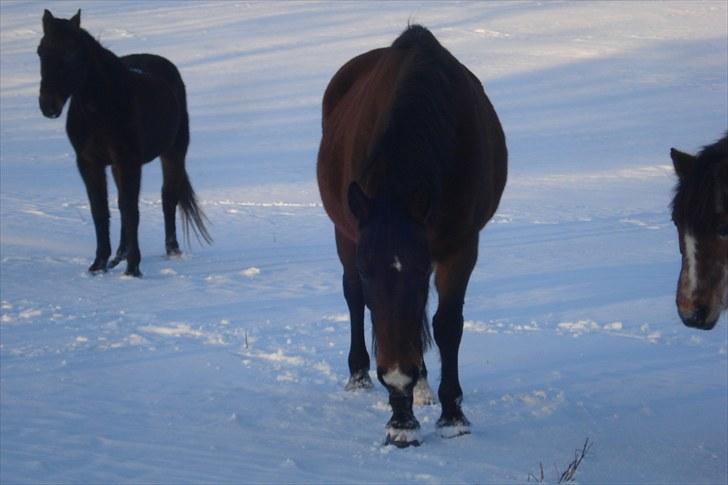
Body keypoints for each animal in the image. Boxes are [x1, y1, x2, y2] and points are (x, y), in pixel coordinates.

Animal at [37, 9, 210, 276]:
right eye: (41, 52)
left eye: (71, 54)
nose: (48, 105)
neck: (100, 110)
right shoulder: (89, 163)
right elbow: (101, 209)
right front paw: (98, 265)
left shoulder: (127, 162)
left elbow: (130, 210)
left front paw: (133, 269)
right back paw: (119, 255)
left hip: (173, 152)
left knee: (168, 197)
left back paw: (171, 251)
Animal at [318, 24, 506, 444]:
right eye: (368, 270)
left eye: (419, 271)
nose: (396, 376)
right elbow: (371, 307)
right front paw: (400, 421)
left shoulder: (459, 247)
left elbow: (446, 324)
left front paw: (452, 416)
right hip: (344, 233)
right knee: (353, 299)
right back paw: (361, 375)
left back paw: (421, 387)